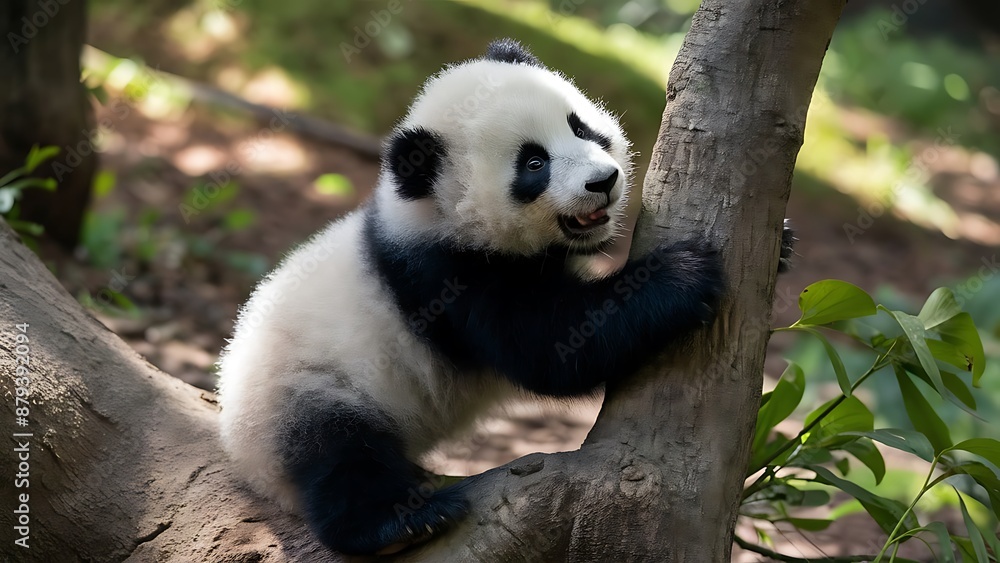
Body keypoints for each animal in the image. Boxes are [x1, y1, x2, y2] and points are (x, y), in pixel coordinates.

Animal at [218, 38, 790, 555]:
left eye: (580, 127)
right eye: (533, 164)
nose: (603, 180)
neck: (432, 212)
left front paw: (782, 244)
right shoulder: (447, 275)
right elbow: (551, 347)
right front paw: (683, 274)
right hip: (306, 387)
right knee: (339, 457)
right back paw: (401, 523)